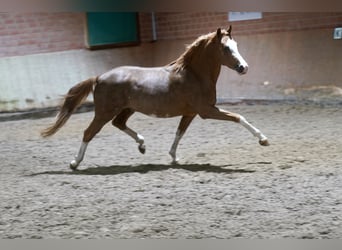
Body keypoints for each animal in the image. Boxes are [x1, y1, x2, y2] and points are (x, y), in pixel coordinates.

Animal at [41, 25, 268, 170]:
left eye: (236, 45)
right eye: (226, 47)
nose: (244, 67)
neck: (194, 75)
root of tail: (99, 77)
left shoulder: (191, 113)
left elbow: (179, 133)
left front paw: (174, 158)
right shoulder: (206, 111)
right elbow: (239, 117)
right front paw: (263, 140)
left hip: (126, 109)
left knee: (118, 124)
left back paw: (142, 145)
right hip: (104, 112)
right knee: (89, 132)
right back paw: (75, 163)